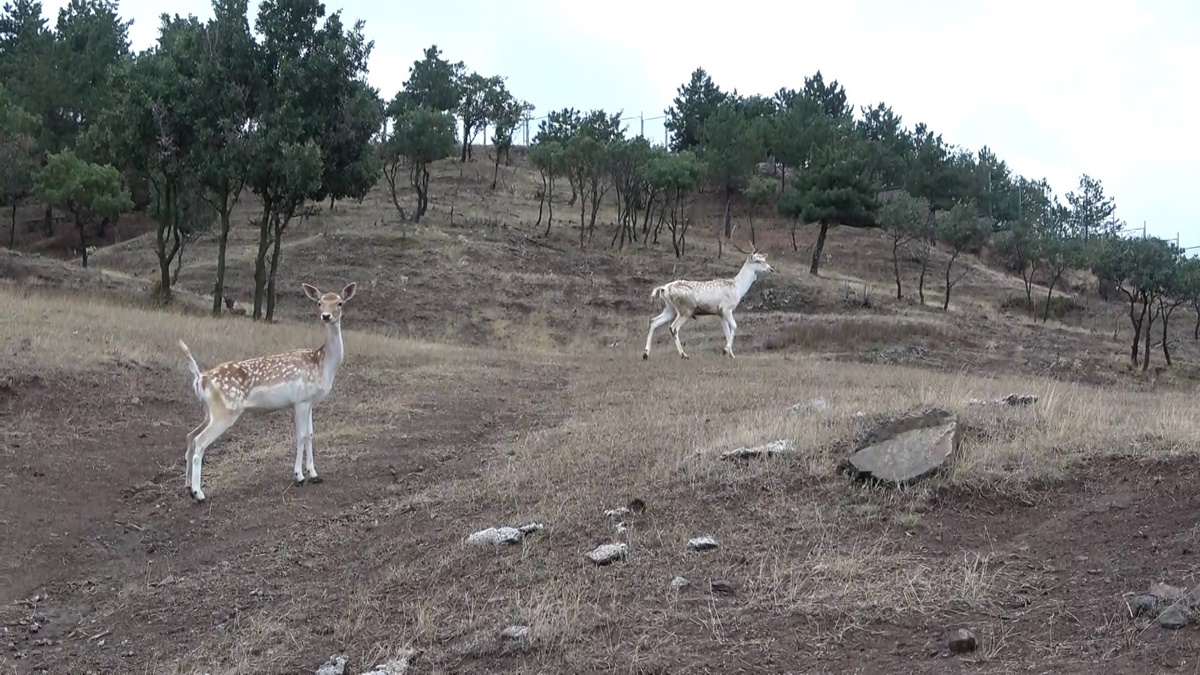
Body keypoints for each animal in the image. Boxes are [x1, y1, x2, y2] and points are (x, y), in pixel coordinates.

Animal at [177, 278, 355, 499]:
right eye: (320, 302)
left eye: (339, 302)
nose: (326, 316)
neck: (323, 364)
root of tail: (201, 378)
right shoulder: (300, 400)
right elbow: (301, 435)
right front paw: (299, 476)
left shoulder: (310, 402)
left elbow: (311, 434)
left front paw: (314, 474)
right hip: (224, 412)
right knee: (200, 442)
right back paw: (198, 493)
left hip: (209, 411)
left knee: (190, 436)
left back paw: (187, 486)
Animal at [643, 240, 772, 357]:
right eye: (757, 260)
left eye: (764, 259)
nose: (771, 269)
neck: (737, 288)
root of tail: (664, 288)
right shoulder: (726, 308)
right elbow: (734, 326)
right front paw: (725, 350)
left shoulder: (720, 313)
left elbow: (727, 331)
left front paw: (731, 355)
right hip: (685, 309)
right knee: (673, 327)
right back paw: (683, 354)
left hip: (670, 309)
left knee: (653, 321)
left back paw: (646, 354)